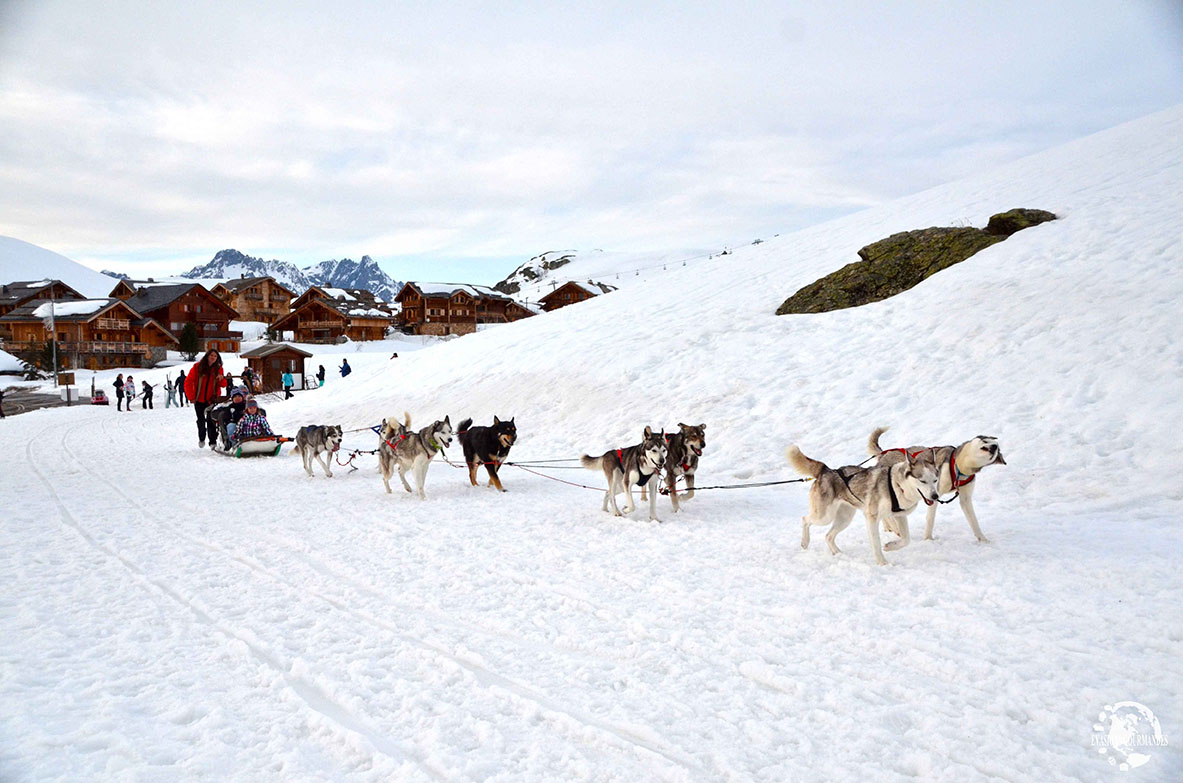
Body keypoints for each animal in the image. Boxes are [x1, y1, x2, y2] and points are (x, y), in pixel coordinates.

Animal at [785, 444, 941, 567]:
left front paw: (890, 546)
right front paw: (882, 563)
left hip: (845, 518)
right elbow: (876, 544)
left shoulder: (900, 516)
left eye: (935, 480)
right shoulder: (872, 517)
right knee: (805, 519)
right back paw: (805, 542)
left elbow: (906, 539)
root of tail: (826, 471)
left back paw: (838, 553)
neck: (897, 485)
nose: (935, 496)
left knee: (828, 536)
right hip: (825, 516)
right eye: (922, 481)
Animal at [870, 430, 1007, 546]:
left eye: (996, 449)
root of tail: (883, 456)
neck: (960, 468)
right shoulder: (934, 493)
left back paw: (889, 527)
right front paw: (928, 538)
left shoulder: (965, 498)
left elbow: (974, 521)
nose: (994, 447)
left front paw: (983, 539)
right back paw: (893, 527)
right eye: (987, 440)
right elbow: (930, 519)